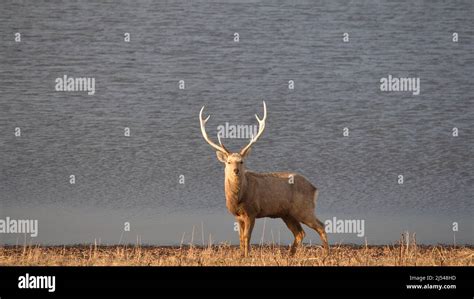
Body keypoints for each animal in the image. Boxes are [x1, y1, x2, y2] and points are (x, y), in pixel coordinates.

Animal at [199, 101, 330, 258]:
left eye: (241, 161)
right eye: (229, 162)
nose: (236, 170)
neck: (238, 198)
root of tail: (314, 188)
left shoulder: (252, 211)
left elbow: (247, 237)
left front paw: (247, 256)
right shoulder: (237, 216)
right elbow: (240, 237)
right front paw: (241, 255)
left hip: (304, 208)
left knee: (321, 226)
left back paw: (327, 254)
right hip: (287, 214)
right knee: (300, 233)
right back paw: (290, 255)